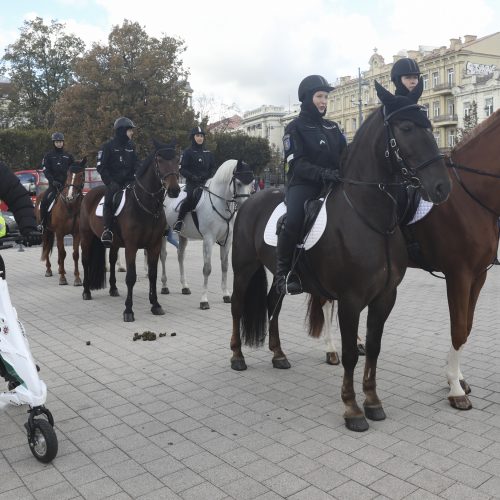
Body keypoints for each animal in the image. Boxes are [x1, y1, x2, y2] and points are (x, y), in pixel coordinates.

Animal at [78, 139, 180, 322]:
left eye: (177, 159)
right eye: (160, 160)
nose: (175, 190)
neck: (145, 205)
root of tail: (89, 194)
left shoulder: (154, 245)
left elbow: (153, 274)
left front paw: (155, 305)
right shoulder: (131, 246)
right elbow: (131, 277)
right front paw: (128, 310)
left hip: (114, 243)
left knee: (111, 261)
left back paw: (113, 289)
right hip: (86, 237)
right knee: (86, 261)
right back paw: (86, 291)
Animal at [162, 160, 254, 308]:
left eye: (252, 183)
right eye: (239, 183)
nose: (246, 205)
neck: (220, 203)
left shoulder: (228, 240)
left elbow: (225, 266)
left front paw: (226, 294)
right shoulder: (208, 239)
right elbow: (207, 268)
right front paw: (204, 300)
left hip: (183, 235)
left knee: (180, 256)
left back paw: (184, 286)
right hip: (163, 232)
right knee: (163, 256)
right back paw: (164, 286)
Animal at [230, 81, 454, 430]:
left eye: (430, 126)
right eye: (406, 128)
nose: (442, 187)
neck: (370, 217)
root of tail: (250, 200)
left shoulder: (384, 297)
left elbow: (373, 347)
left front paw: (373, 401)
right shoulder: (351, 299)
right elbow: (350, 353)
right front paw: (352, 409)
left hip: (278, 277)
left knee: (271, 304)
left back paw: (278, 355)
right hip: (243, 267)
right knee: (238, 307)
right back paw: (237, 357)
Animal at [320, 108, 500, 410]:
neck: (470, 195)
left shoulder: (479, 275)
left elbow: (467, 327)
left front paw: (457, 377)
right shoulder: (459, 274)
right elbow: (458, 328)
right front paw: (455, 388)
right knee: (324, 302)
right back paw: (332, 349)